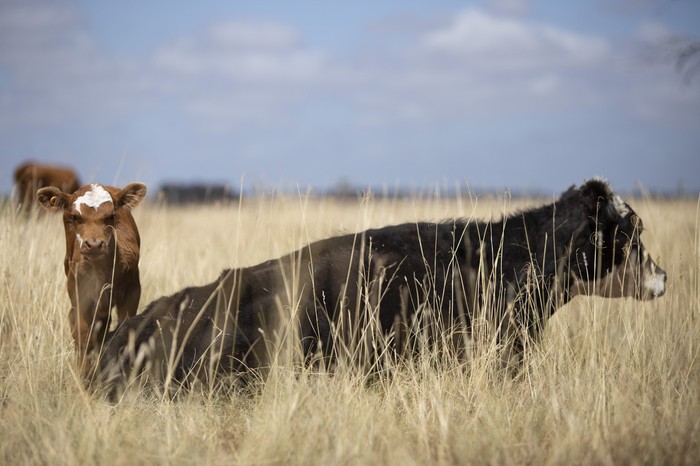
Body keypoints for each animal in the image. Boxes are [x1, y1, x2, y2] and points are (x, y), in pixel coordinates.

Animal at [37, 182, 148, 368]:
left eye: (112, 216)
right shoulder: (80, 298)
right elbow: (84, 339)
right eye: (75, 217)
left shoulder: (133, 291)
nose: (94, 244)